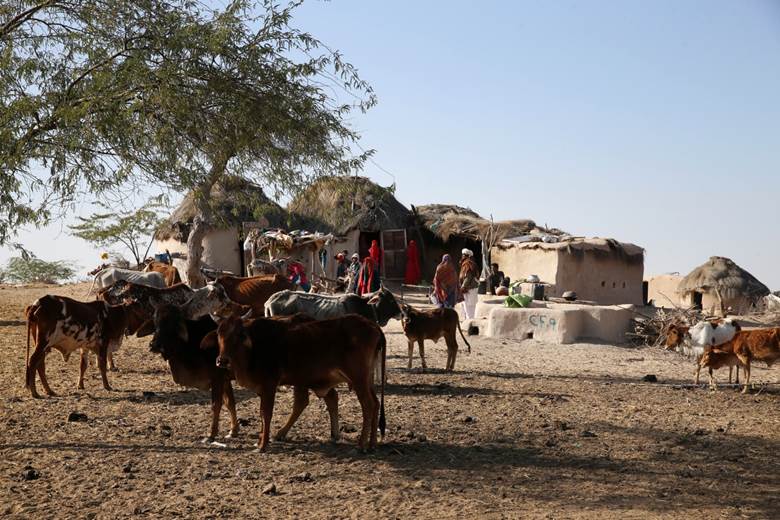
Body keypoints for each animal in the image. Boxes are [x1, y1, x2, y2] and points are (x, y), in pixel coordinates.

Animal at [215, 312, 386, 450]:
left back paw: (361, 444)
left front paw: (262, 445)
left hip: (359, 379)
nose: (222, 361)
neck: (254, 347)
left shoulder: (269, 384)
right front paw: (260, 441)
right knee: (376, 403)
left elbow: (266, 413)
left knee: (368, 405)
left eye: (239, 334)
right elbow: (263, 412)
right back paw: (372, 443)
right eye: (219, 333)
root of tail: (373, 325)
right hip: (367, 380)